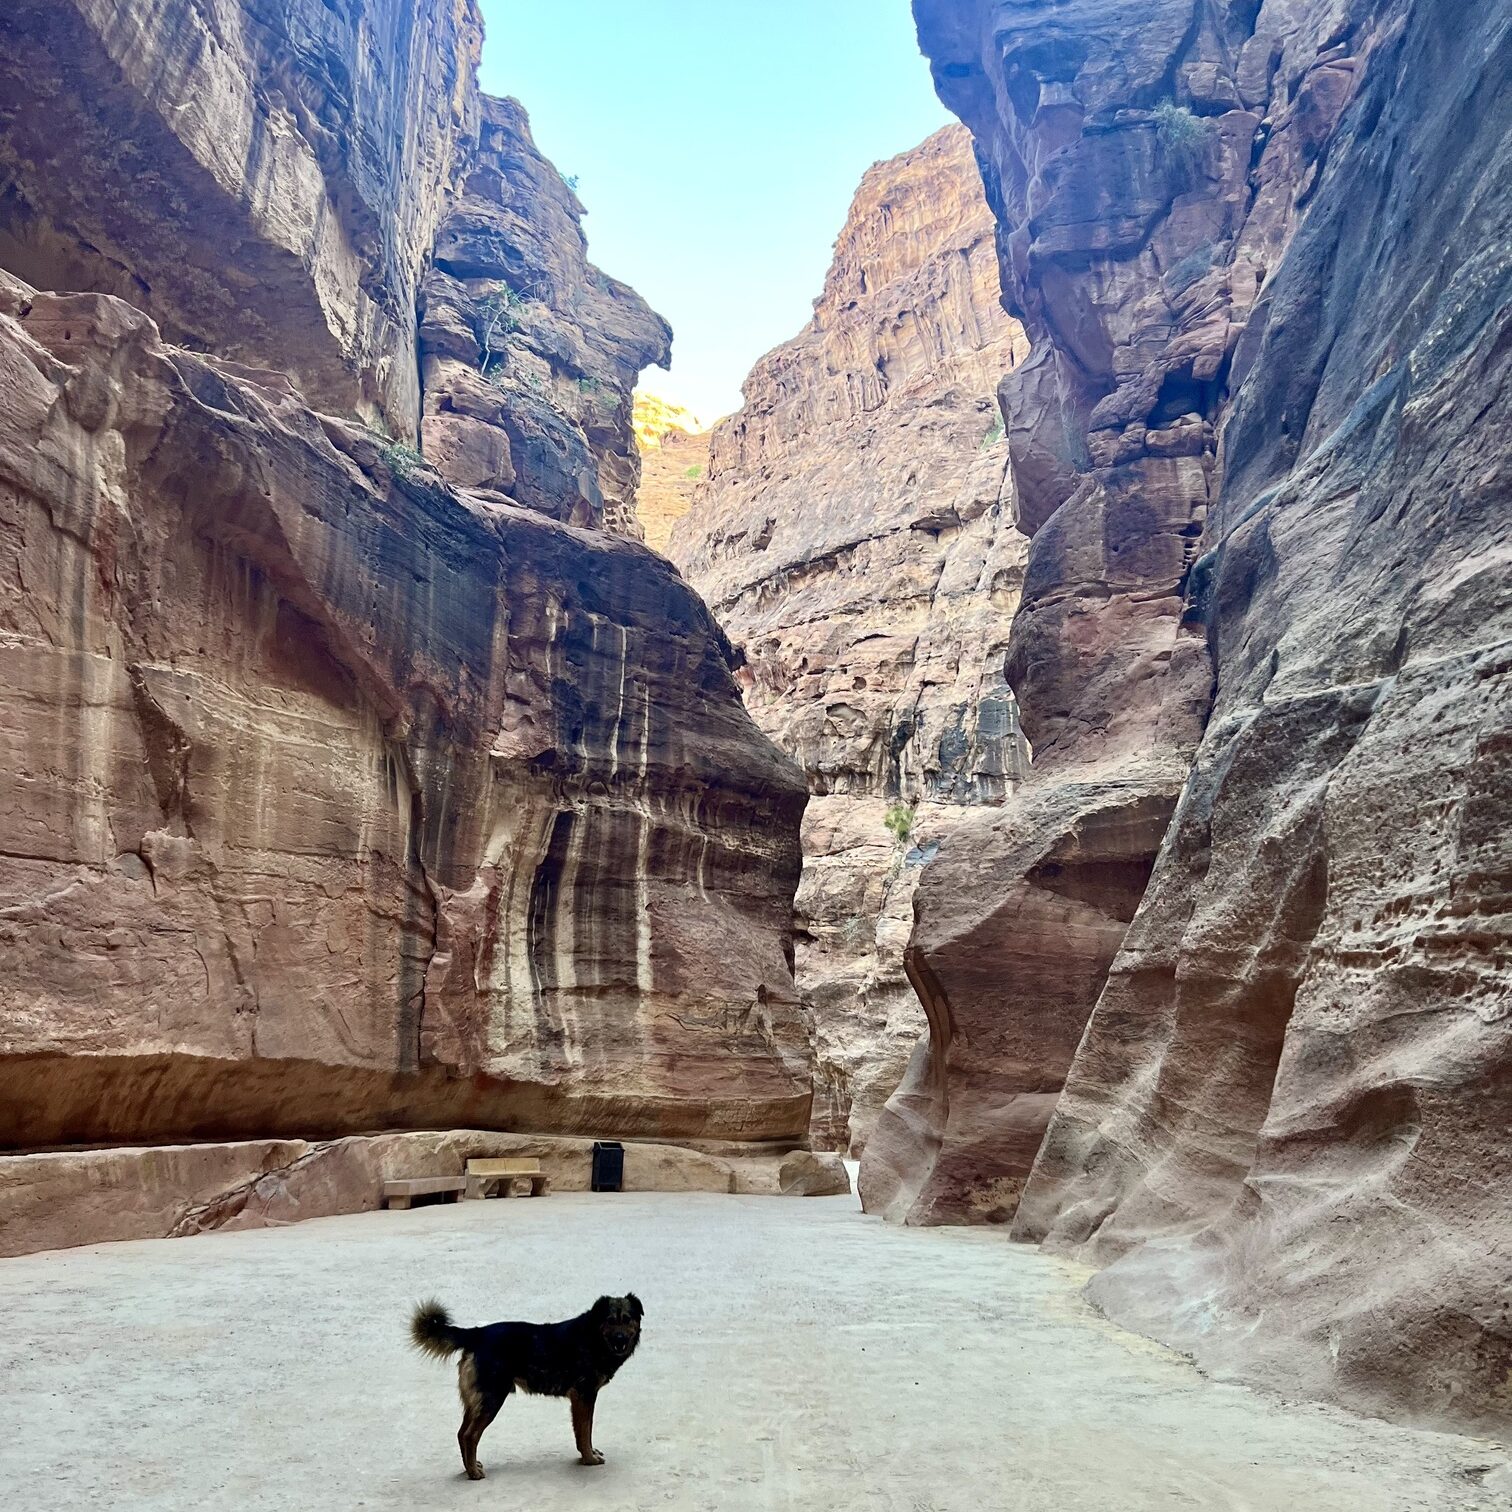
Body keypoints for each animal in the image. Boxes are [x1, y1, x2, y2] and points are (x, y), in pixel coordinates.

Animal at [414, 1294, 644, 1481]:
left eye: (627, 1320)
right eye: (610, 1321)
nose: (621, 1338)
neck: (593, 1337)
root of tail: (476, 1334)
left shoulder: (582, 1399)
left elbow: (583, 1432)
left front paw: (588, 1454)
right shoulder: (584, 1396)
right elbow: (584, 1431)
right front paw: (589, 1458)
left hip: (477, 1401)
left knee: (461, 1433)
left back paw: (469, 1467)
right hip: (491, 1399)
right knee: (469, 1435)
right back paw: (473, 1473)